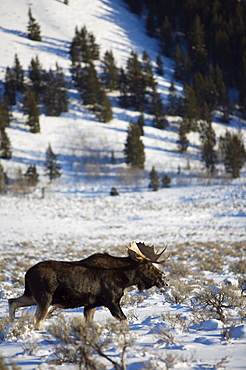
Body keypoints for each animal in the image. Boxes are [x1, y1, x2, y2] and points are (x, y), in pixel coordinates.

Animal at [8, 243, 168, 330]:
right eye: (149, 266)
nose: (163, 278)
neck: (125, 278)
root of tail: (27, 274)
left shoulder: (90, 305)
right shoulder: (112, 302)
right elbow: (125, 320)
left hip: (31, 295)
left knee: (12, 301)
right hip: (44, 298)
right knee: (37, 320)